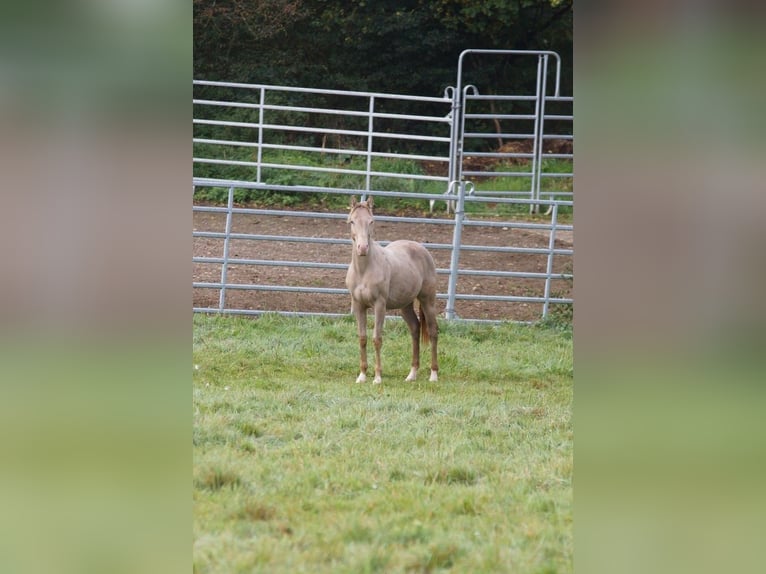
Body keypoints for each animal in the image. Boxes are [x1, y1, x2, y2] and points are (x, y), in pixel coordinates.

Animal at [346, 196, 440, 384]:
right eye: (352, 221)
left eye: (371, 221)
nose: (362, 248)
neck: (364, 270)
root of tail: (421, 249)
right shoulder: (359, 305)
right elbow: (362, 338)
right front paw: (362, 376)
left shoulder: (379, 305)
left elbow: (377, 339)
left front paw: (377, 377)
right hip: (405, 305)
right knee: (415, 329)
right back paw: (412, 374)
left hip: (427, 300)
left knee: (433, 331)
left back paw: (433, 375)